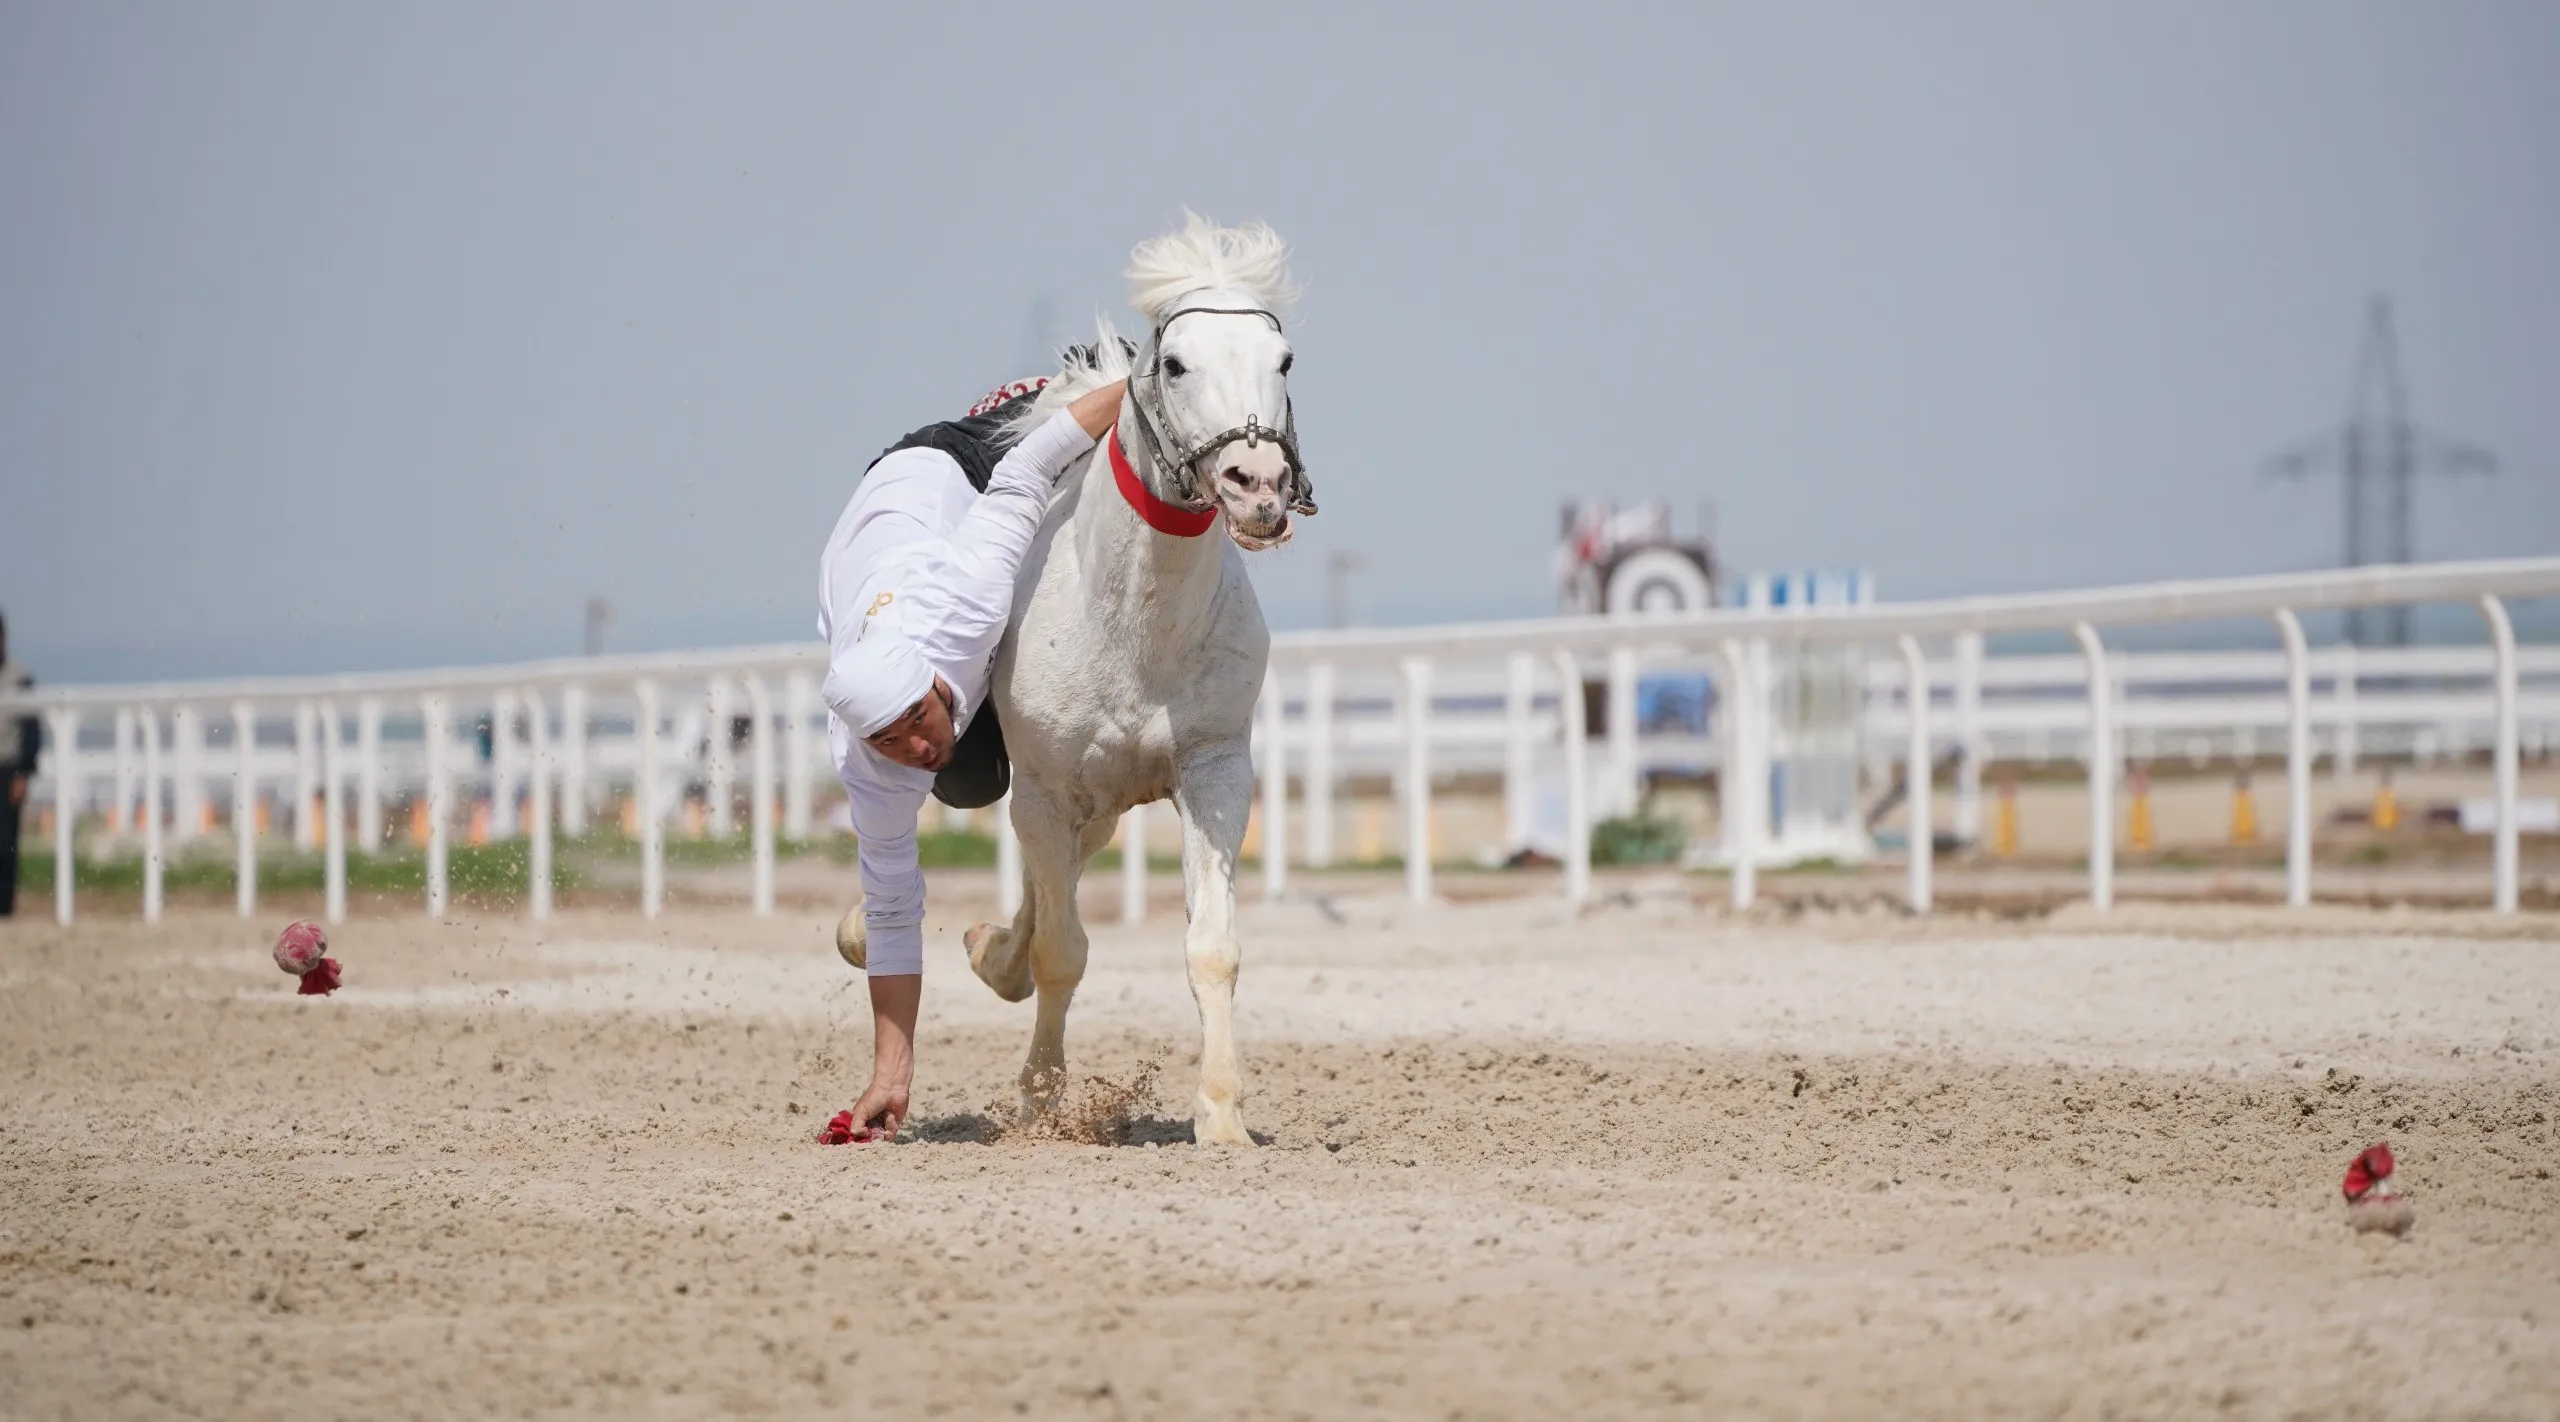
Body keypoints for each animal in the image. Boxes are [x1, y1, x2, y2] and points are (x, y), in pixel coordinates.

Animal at [962, 216, 1310, 1147]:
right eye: (1177, 362)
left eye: (1283, 360)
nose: (1258, 487)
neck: (1134, 628)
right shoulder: (1043, 790)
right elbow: (1062, 953)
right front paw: (1042, 1104)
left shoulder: (1215, 771)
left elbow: (1212, 947)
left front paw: (1221, 1115)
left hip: (1106, 808)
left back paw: (992, 952)